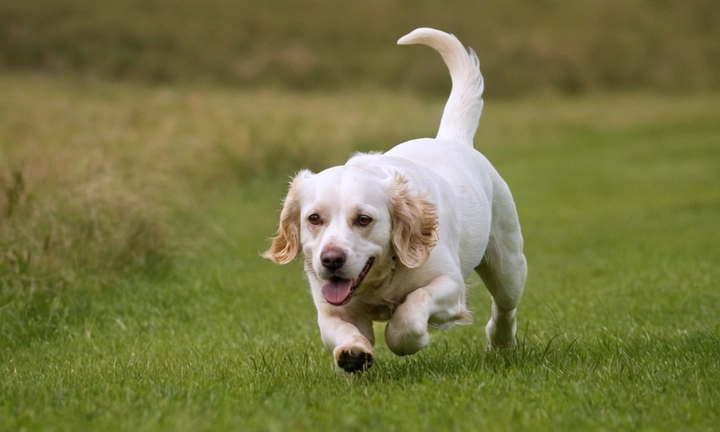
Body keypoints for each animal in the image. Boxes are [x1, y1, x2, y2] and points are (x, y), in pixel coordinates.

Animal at [264, 27, 528, 372]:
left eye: (363, 219)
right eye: (314, 218)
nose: (331, 260)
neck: (380, 279)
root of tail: (450, 138)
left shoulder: (449, 283)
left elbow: (410, 312)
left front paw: (408, 338)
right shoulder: (330, 307)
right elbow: (344, 332)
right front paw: (353, 353)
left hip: (508, 265)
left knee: (505, 308)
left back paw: (501, 343)